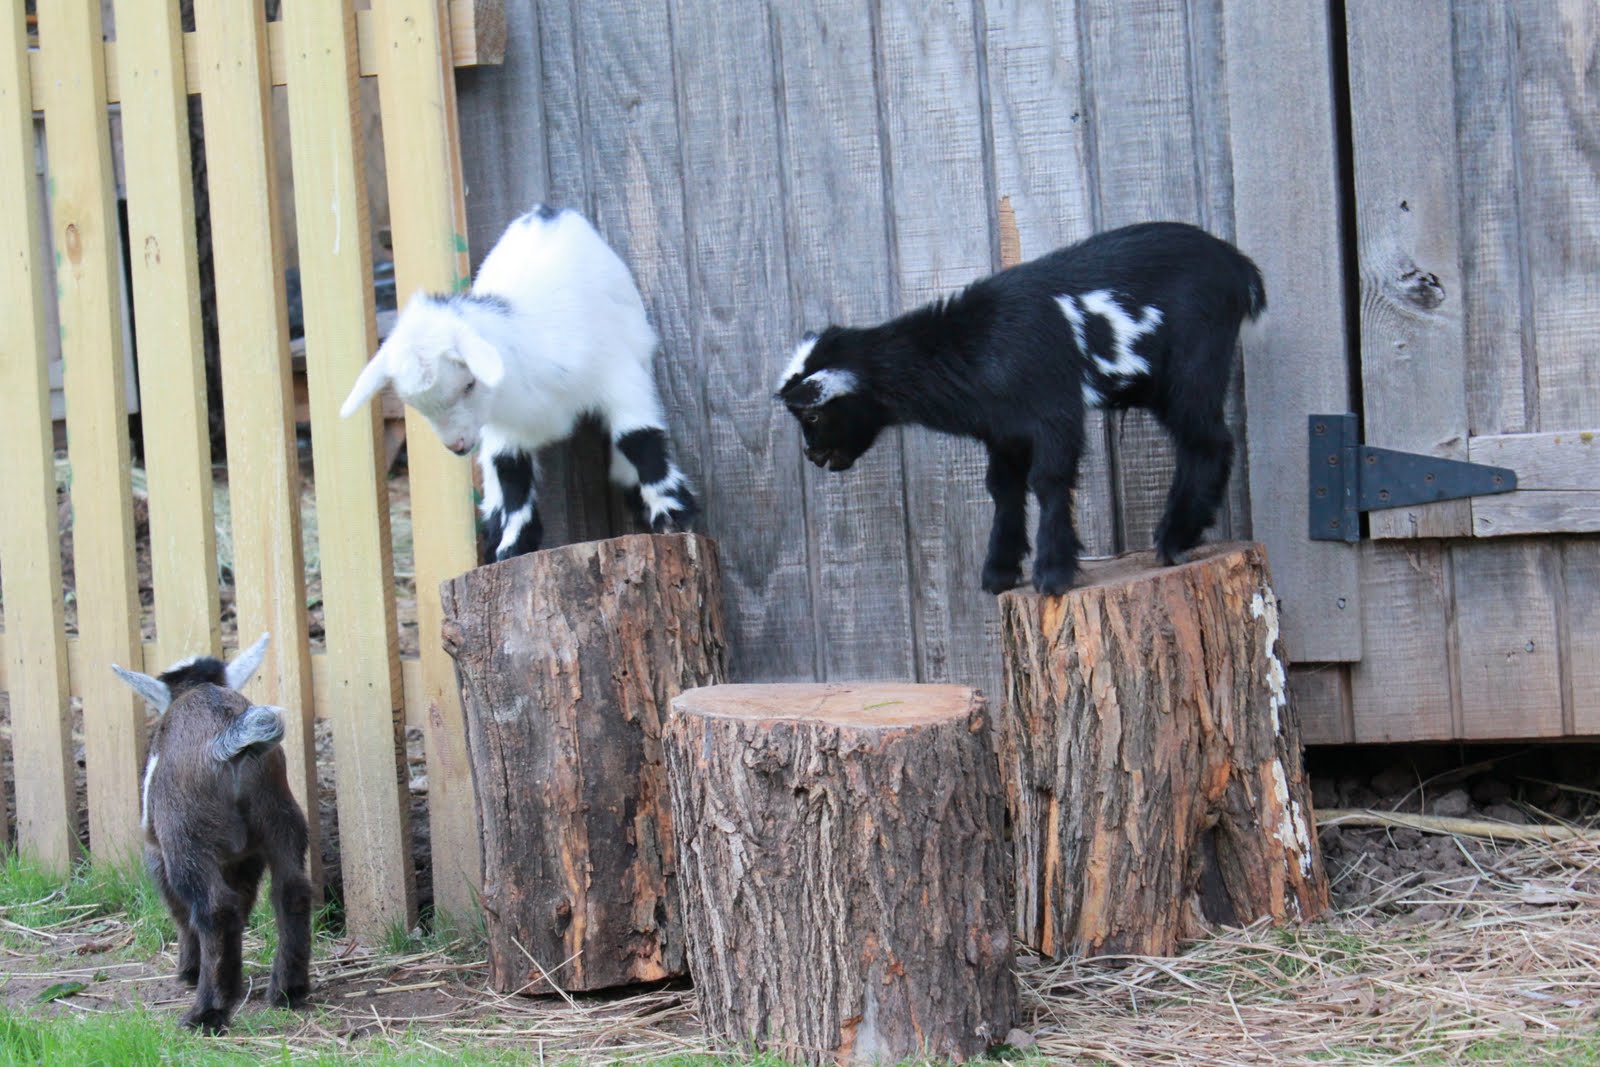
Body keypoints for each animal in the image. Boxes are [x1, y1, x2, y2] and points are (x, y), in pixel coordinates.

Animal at [112, 633, 312, 1033]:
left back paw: (206, 1013)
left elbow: (179, 909)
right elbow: (246, 899)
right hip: (279, 814)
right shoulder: (245, 856)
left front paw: (190, 971)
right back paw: (288, 990)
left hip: (185, 837)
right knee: (291, 891)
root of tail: (228, 739)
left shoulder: (158, 851)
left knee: (214, 910)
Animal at [338, 204, 697, 565]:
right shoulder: (504, 427)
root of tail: (545, 211)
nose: (457, 446)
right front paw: (512, 544)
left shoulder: (617, 376)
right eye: (416, 406)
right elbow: (509, 471)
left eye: (469, 385)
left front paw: (670, 513)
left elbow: (636, 438)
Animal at [777, 221, 1264, 595]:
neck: (970, 347)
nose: (812, 455)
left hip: (1193, 362)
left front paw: (1053, 573)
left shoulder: (1054, 410)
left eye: (813, 415)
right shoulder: (1003, 431)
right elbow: (1003, 489)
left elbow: (1048, 480)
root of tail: (1239, 266)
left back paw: (1175, 539)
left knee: (1207, 440)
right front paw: (999, 572)